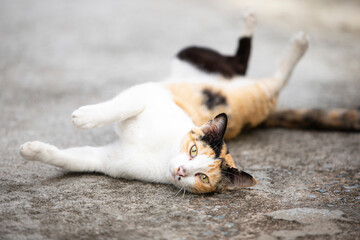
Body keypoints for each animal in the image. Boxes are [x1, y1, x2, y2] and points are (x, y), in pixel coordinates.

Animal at [18, 12, 326, 194]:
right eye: (193, 150)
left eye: (203, 177)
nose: (181, 171)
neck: (163, 153)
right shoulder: (148, 94)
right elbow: (125, 104)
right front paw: (84, 118)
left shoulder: (109, 159)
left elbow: (73, 157)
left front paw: (33, 150)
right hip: (192, 54)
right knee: (243, 64)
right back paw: (271, 31)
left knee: (273, 79)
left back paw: (296, 44)